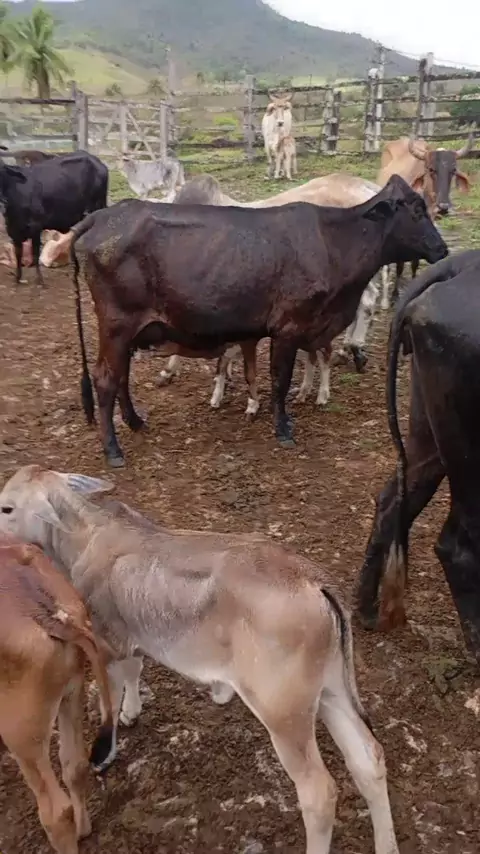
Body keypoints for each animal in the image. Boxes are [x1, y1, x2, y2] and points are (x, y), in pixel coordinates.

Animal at [0, 151, 108, 286]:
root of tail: (99, 163)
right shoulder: (13, 229)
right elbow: (18, 254)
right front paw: (18, 278)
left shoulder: (36, 226)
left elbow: (35, 253)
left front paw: (40, 280)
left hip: (97, 207)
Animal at [58, 175, 446, 467]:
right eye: (415, 210)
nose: (442, 249)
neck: (333, 242)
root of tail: (103, 216)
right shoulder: (288, 327)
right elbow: (280, 380)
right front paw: (283, 428)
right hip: (117, 326)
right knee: (106, 380)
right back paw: (113, 450)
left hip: (128, 333)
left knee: (120, 376)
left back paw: (136, 422)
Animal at [354, 249, 480, 668]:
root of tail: (459, 266)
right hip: (469, 457)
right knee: (459, 547)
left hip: (428, 435)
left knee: (393, 501)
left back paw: (366, 608)